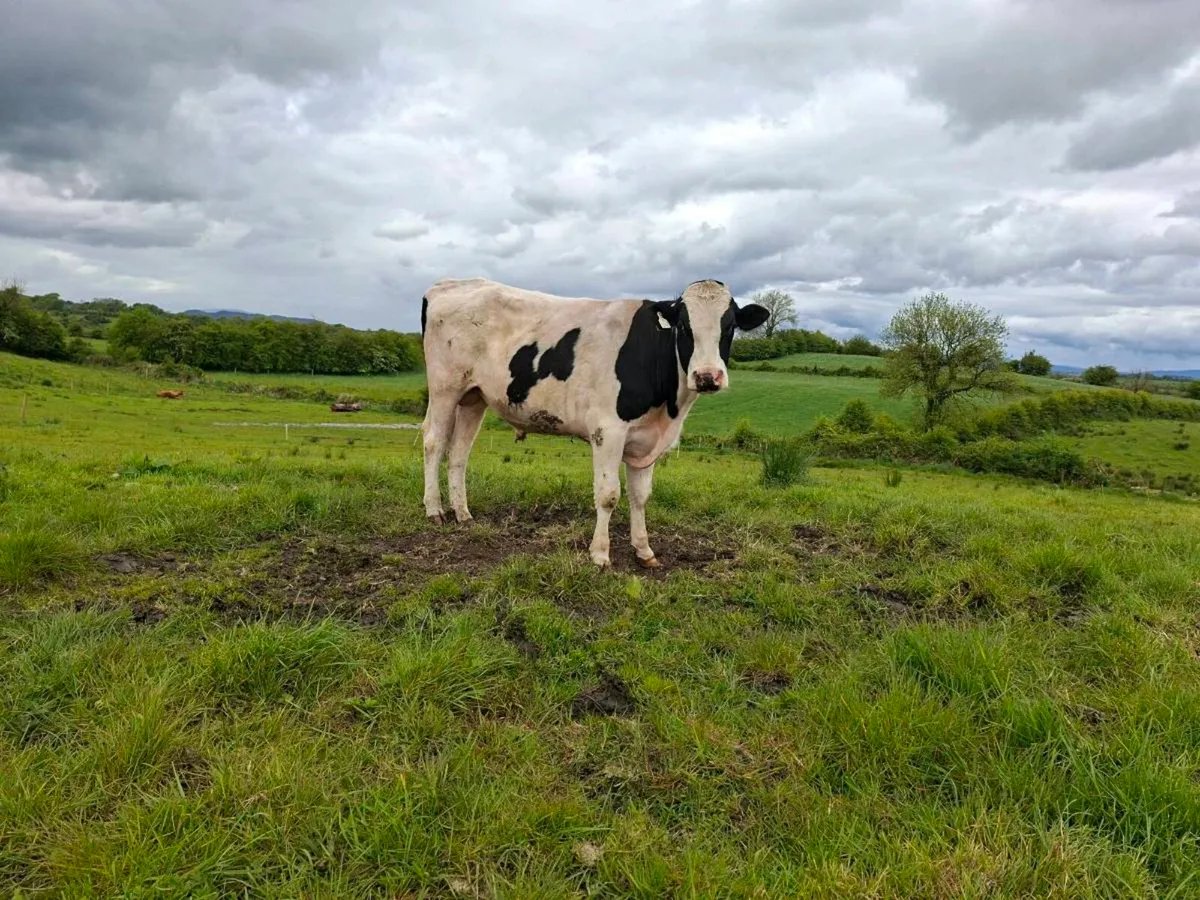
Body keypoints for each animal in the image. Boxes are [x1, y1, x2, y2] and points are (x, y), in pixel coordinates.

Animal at [419, 277, 769, 568]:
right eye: (684, 325)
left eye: (730, 325)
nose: (707, 376)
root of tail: (447, 285)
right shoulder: (607, 430)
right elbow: (609, 494)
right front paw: (600, 554)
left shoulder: (646, 440)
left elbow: (641, 496)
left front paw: (644, 551)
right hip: (445, 388)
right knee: (434, 443)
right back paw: (435, 510)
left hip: (474, 397)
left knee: (459, 453)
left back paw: (463, 514)